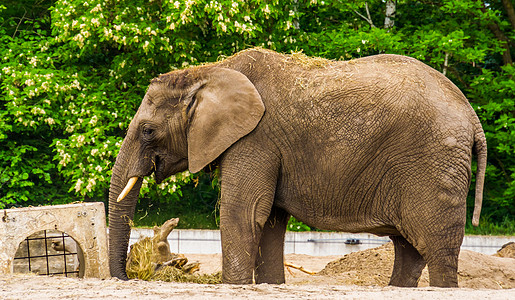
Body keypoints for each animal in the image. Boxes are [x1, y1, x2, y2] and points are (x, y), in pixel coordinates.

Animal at [109, 48, 488, 288]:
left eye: (147, 131)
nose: (128, 277)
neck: (208, 72)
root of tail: (472, 116)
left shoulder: (255, 138)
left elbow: (243, 212)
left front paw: (234, 285)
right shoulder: (267, 147)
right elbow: (270, 221)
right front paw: (270, 285)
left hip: (432, 162)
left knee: (435, 246)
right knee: (409, 248)